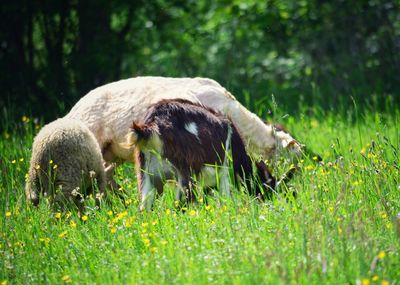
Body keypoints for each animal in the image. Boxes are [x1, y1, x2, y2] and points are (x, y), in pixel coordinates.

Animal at [125, 98, 278, 210]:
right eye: (269, 185)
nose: (270, 202)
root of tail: (152, 123)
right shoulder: (224, 172)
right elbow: (225, 197)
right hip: (186, 171)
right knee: (180, 205)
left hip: (146, 173)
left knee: (145, 208)